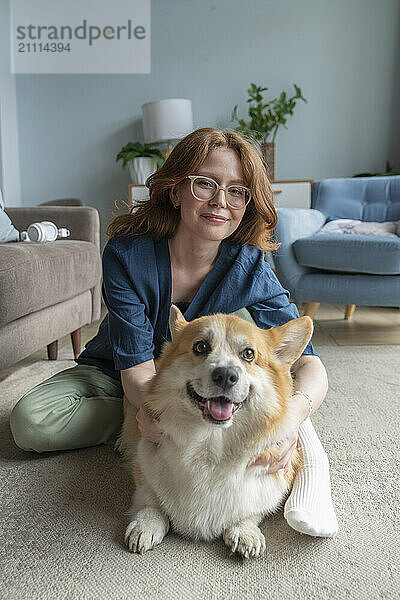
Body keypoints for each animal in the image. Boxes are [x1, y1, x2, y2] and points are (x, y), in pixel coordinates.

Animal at [117, 308, 314, 560]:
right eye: (200, 346)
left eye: (248, 354)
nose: (226, 375)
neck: (212, 443)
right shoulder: (145, 463)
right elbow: (150, 498)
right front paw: (146, 524)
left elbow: (252, 509)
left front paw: (244, 530)